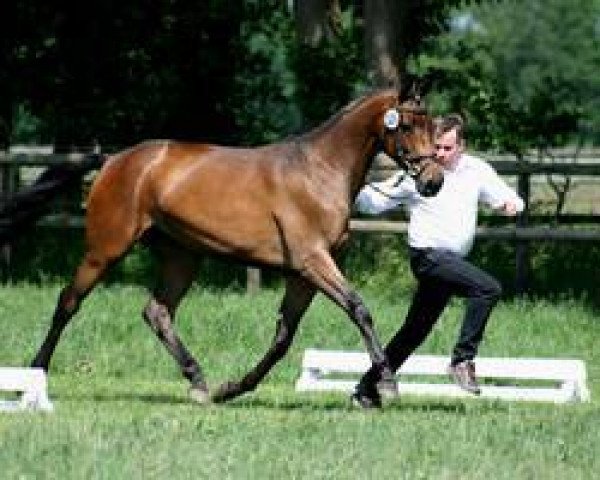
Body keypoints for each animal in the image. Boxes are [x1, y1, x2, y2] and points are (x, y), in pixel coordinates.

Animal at [23, 87, 442, 404]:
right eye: (406, 124)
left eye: (432, 124)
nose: (433, 181)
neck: (319, 171)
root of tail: (114, 160)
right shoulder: (313, 262)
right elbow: (359, 309)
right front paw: (387, 383)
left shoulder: (302, 276)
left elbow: (283, 338)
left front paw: (233, 389)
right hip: (105, 250)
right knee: (68, 303)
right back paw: (34, 375)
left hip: (182, 257)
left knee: (157, 313)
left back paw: (199, 382)